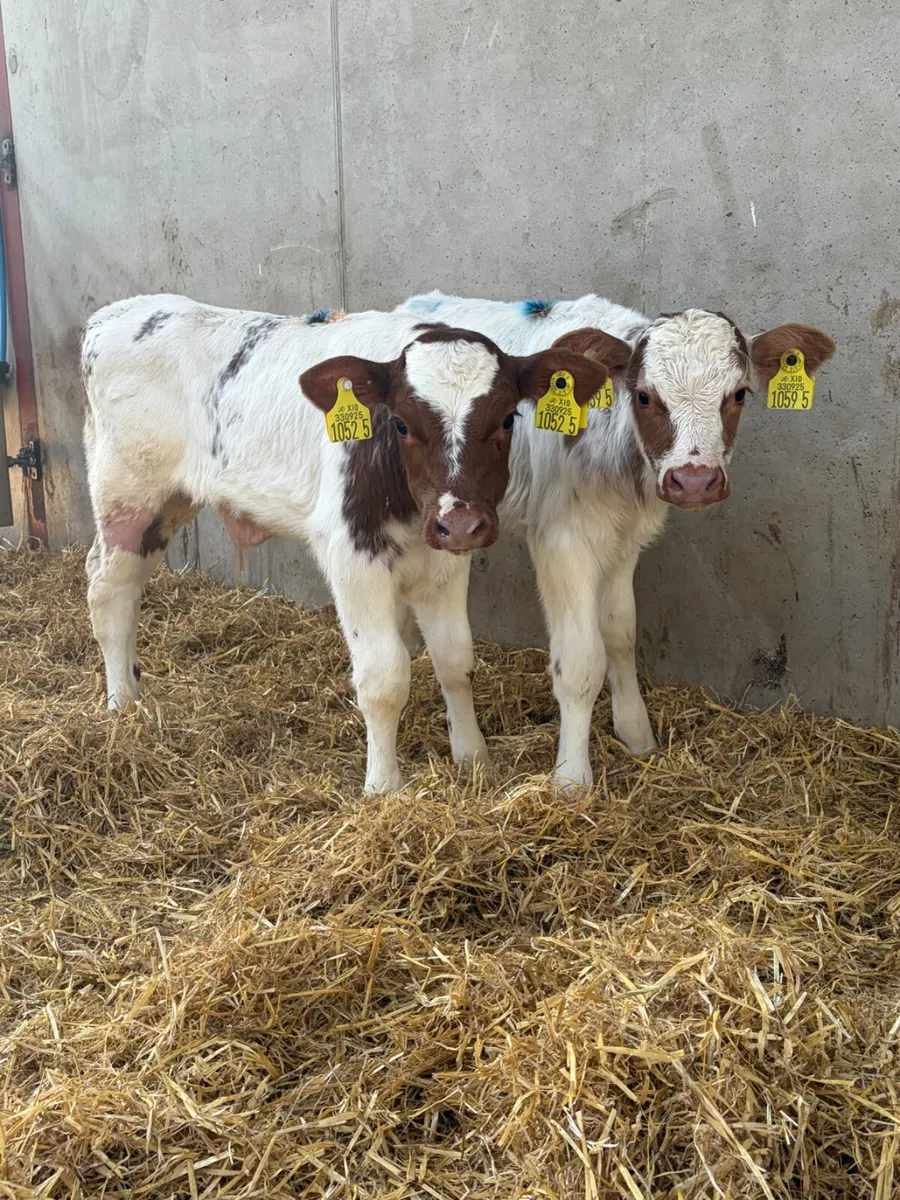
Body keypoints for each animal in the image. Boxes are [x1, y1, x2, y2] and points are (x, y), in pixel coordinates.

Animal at [81, 294, 613, 793]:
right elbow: (383, 677)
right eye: (400, 423)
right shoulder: (352, 555)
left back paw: (131, 687)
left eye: (506, 419)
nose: (460, 523)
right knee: (107, 588)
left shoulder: (443, 562)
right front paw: (383, 786)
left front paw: (473, 758)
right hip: (126, 493)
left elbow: (455, 659)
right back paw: (120, 703)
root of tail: (114, 314)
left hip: (170, 503)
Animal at [396, 291, 836, 792]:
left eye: (739, 393)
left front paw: (638, 735)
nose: (694, 480)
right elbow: (580, 661)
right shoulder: (561, 542)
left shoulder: (625, 542)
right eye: (644, 395)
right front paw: (571, 778)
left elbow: (621, 634)